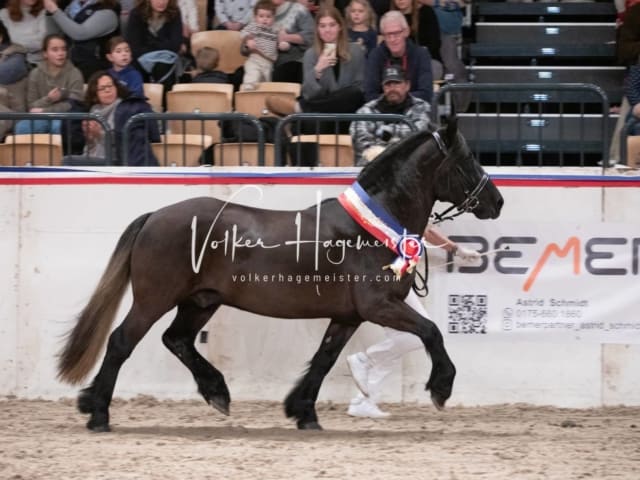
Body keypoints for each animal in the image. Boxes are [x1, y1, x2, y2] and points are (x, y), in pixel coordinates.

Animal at [56, 120, 504, 432]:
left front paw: (303, 412)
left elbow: (324, 360)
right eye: (467, 160)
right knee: (121, 342)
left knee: (177, 340)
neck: (370, 229)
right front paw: (441, 388)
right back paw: (98, 413)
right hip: (155, 299)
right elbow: (432, 332)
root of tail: (154, 217)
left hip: (201, 301)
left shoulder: (348, 316)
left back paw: (216, 393)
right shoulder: (379, 306)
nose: (496, 201)